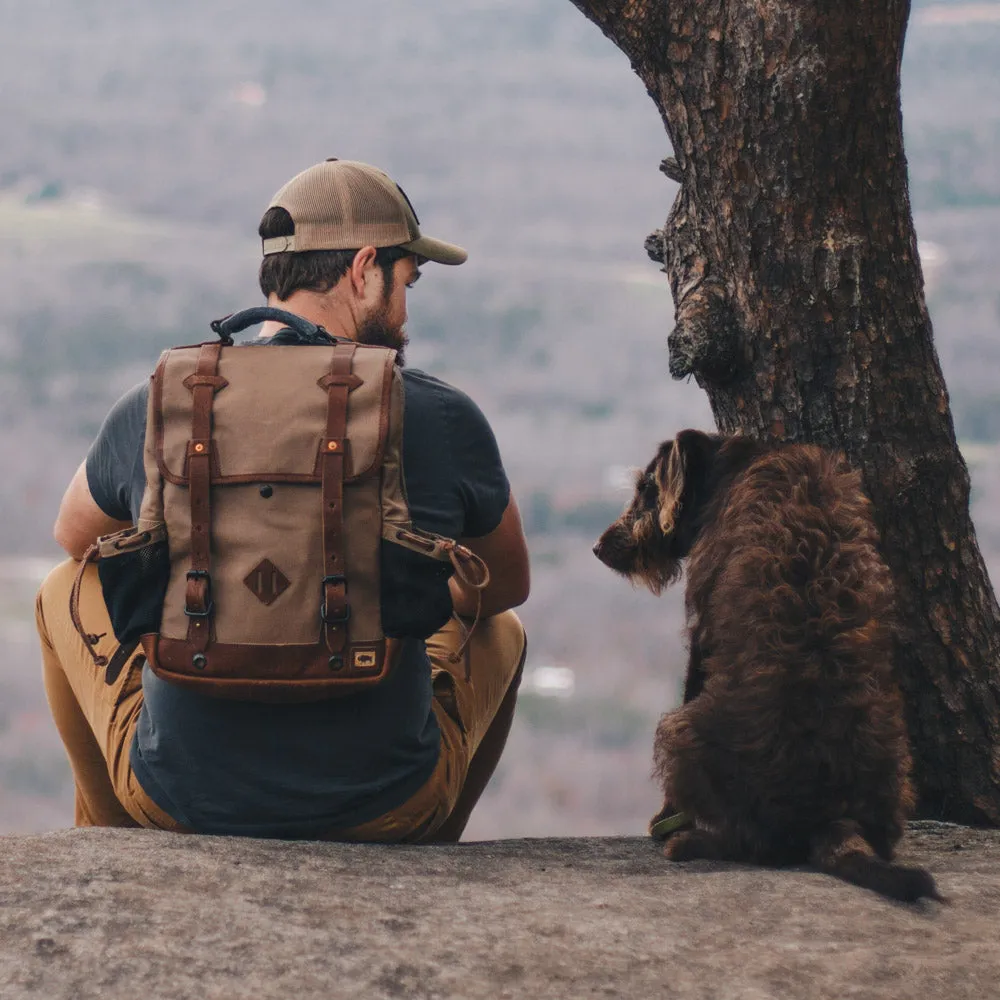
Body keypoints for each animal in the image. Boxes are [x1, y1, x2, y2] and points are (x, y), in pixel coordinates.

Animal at [596, 430, 940, 908]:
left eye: (647, 487)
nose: (599, 547)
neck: (735, 465)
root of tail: (833, 817)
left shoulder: (702, 631)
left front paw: (665, 818)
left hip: (678, 730)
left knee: (753, 845)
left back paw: (692, 841)